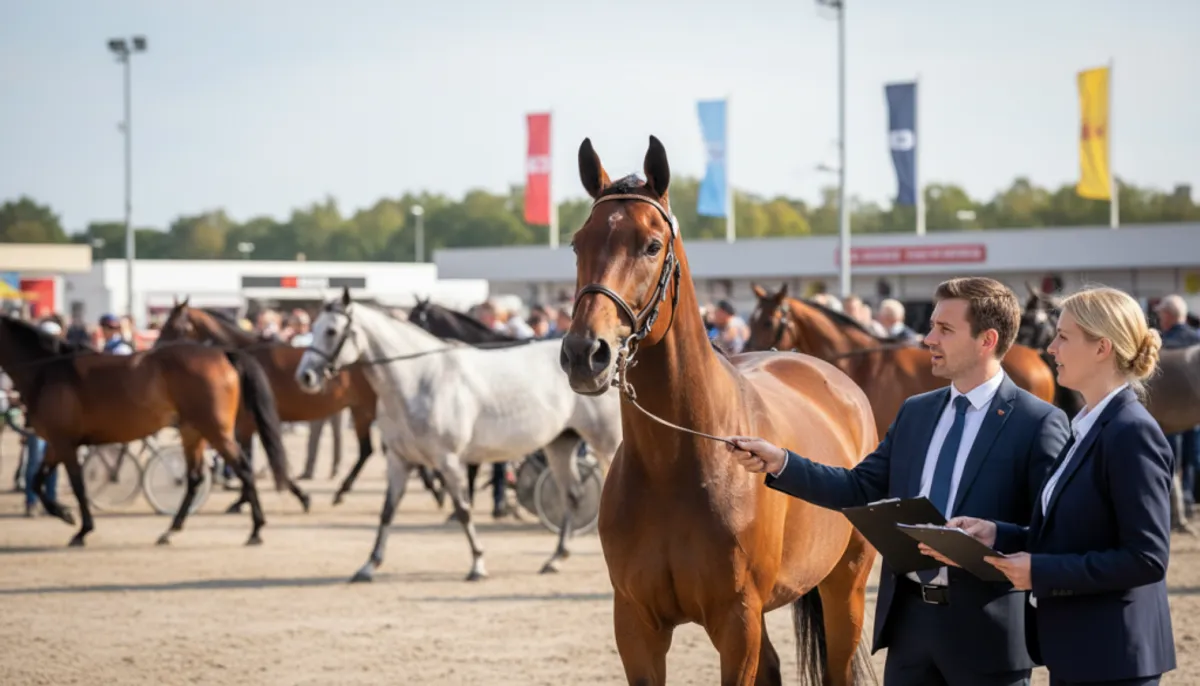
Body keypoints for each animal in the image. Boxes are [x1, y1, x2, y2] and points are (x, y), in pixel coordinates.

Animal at [0, 315, 298, 546]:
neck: (48, 370)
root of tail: (222, 353)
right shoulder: (55, 443)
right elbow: (37, 480)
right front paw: (64, 514)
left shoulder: (64, 443)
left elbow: (76, 485)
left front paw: (80, 527)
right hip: (193, 432)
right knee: (194, 478)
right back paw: (171, 531)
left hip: (216, 431)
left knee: (243, 470)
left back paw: (256, 529)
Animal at [295, 290, 623, 582]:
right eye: (314, 328)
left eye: (332, 331)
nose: (305, 377)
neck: (419, 379)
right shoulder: (399, 460)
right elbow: (387, 512)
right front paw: (368, 566)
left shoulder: (448, 460)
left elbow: (463, 510)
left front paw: (477, 564)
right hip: (560, 443)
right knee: (573, 495)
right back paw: (555, 558)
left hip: (605, 443)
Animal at [559, 136, 878, 685]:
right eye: (579, 243)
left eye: (651, 245)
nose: (585, 353)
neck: (675, 463)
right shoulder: (636, 625)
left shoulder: (736, 620)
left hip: (846, 588)